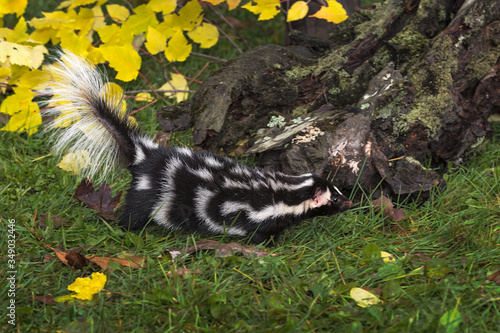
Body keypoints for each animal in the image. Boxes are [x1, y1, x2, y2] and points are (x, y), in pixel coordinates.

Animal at [47, 52, 352, 244]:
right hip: (152, 192)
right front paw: (273, 244)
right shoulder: (255, 213)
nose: (351, 203)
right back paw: (126, 229)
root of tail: (146, 152)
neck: (284, 192)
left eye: (338, 192)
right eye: (334, 199)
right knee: (136, 212)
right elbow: (257, 233)